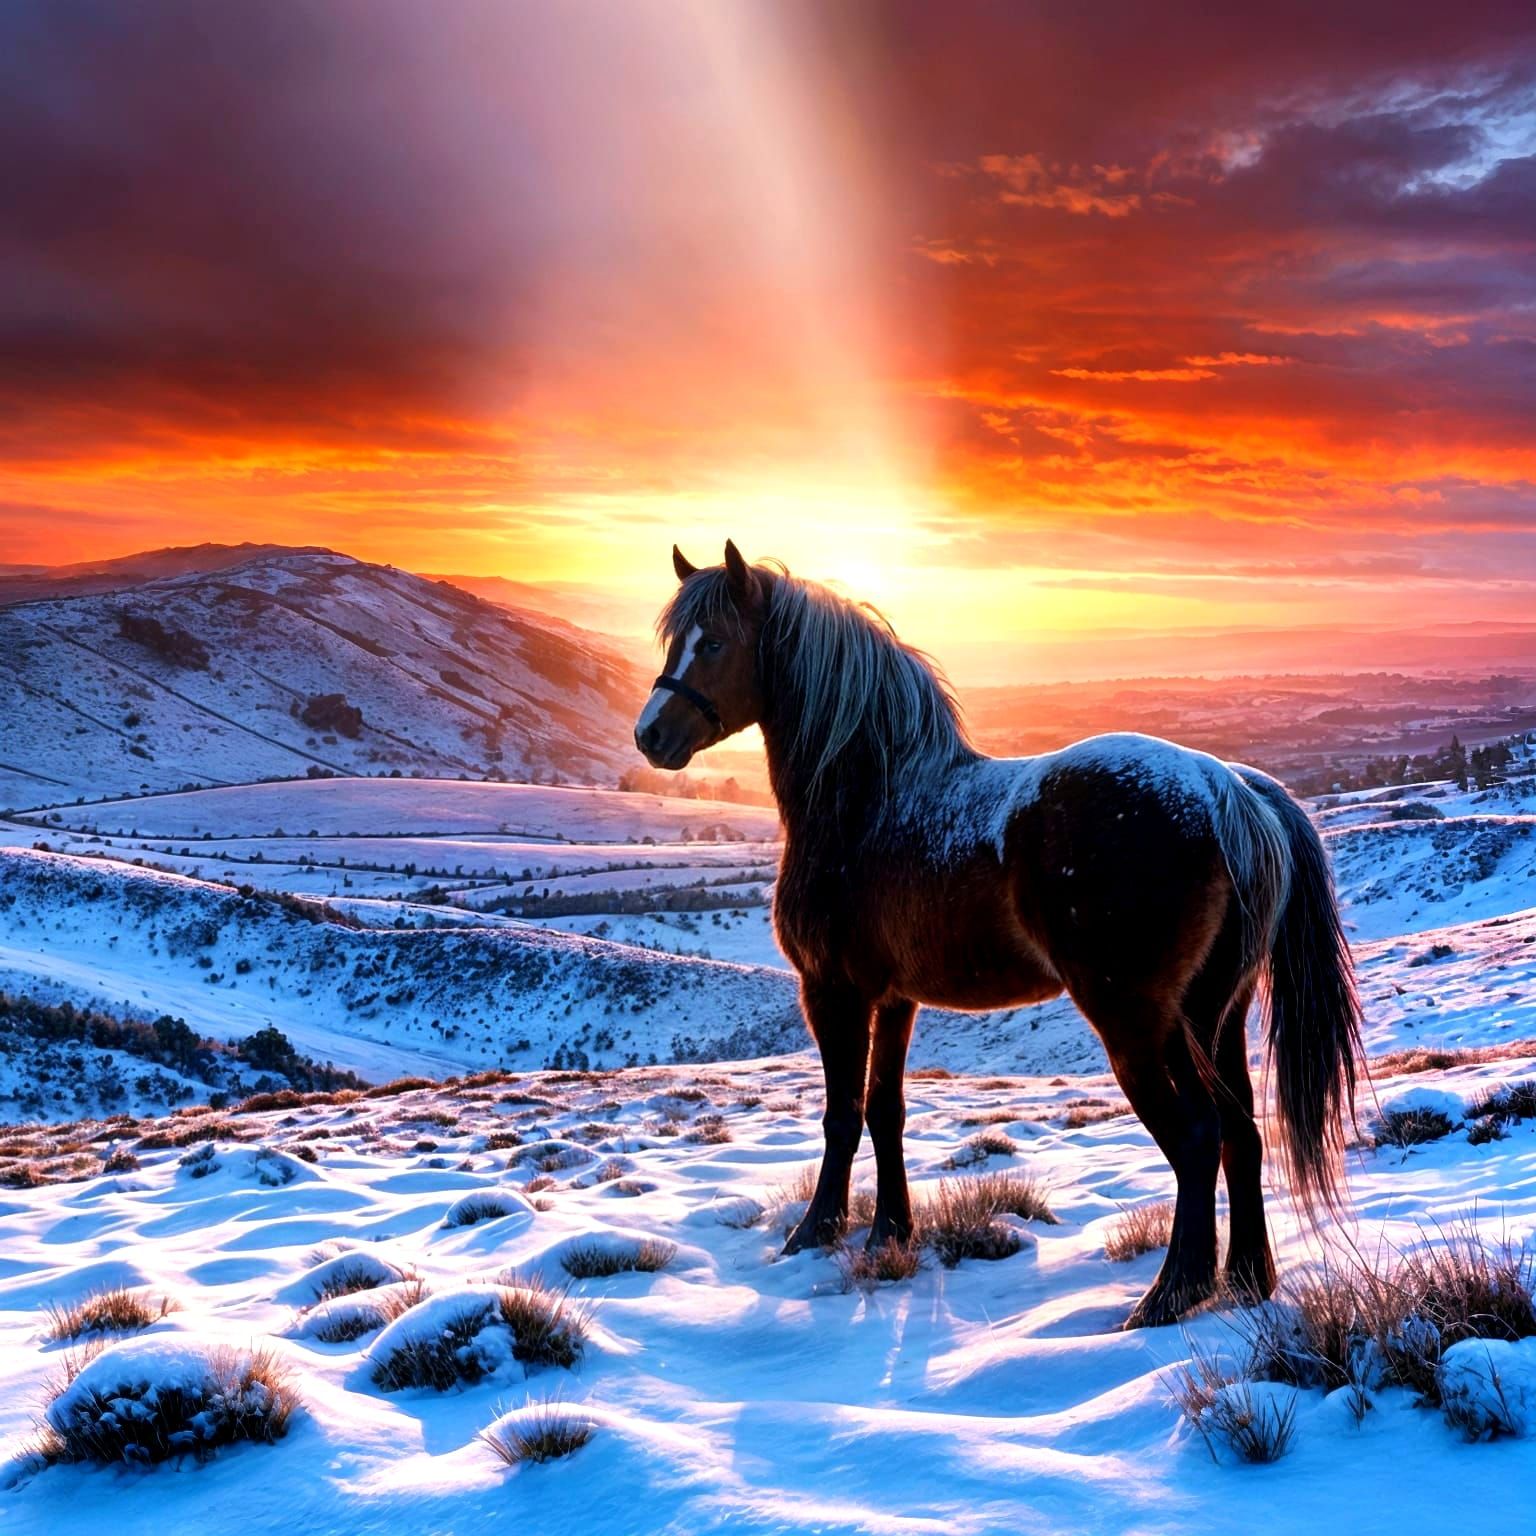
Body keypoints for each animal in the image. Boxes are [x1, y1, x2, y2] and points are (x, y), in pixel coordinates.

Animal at [634, 541, 1362, 1326]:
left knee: (1197, 1138)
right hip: (1211, 1015)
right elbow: (886, 1111)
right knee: (1241, 1133)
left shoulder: (832, 993)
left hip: (1137, 1019)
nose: (650, 735)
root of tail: (1228, 789)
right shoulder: (896, 999)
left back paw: (1170, 1296)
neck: (870, 800)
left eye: (714, 643)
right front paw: (890, 1234)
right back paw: (1249, 1280)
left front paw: (813, 1235)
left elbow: (842, 1115)